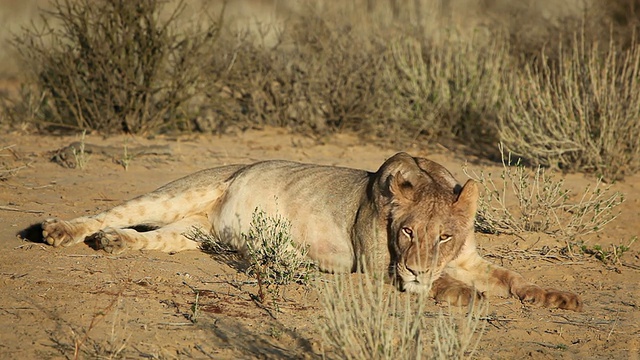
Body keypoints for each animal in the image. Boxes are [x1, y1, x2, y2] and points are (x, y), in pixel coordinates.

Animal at [38, 151, 580, 310]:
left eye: (445, 235)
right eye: (406, 232)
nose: (415, 267)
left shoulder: (469, 258)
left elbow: (510, 276)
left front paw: (556, 297)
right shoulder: (376, 267)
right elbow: (443, 283)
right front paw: (465, 294)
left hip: (190, 233)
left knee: (147, 236)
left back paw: (112, 244)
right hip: (177, 193)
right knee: (111, 212)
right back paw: (61, 231)